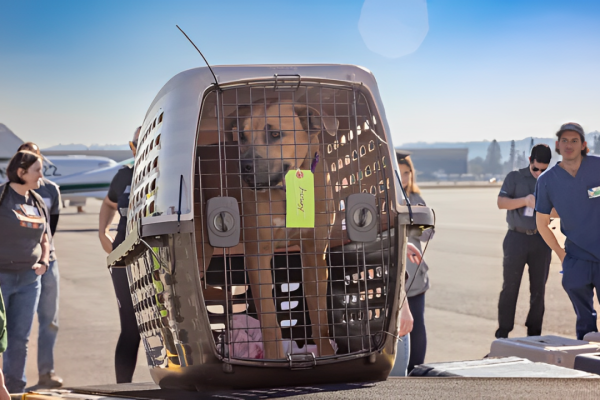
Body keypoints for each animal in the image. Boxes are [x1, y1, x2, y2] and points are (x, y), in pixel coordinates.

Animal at [233, 102, 338, 360]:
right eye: (242, 136)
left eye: (274, 134)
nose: (243, 167)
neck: (288, 187)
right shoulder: (257, 257)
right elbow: (270, 320)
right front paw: (274, 359)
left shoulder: (314, 255)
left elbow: (319, 315)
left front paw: (326, 352)